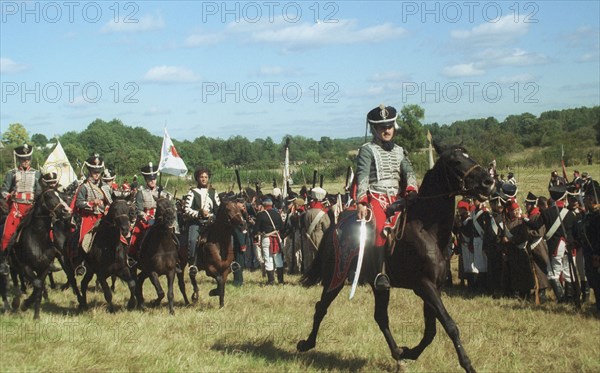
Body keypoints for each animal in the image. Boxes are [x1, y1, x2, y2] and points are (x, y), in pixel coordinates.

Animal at [298, 141, 494, 370]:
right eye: (455, 161)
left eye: (469, 156)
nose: (488, 181)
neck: (427, 230)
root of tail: (336, 226)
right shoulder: (424, 285)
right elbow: (449, 325)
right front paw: (467, 364)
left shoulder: (434, 287)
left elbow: (431, 330)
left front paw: (409, 352)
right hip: (335, 276)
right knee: (322, 306)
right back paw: (307, 343)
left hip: (378, 285)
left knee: (380, 317)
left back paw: (398, 355)